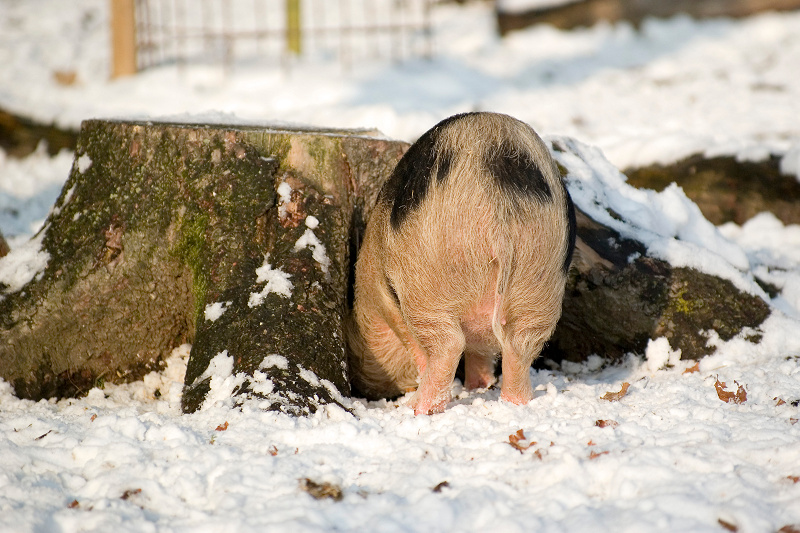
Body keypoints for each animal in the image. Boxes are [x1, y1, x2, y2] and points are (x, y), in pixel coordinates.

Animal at [346, 110, 576, 414]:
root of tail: (498, 207)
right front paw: (478, 386)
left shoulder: (387, 295)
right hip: (539, 276)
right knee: (519, 348)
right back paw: (508, 402)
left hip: (431, 278)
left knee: (448, 346)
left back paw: (416, 410)